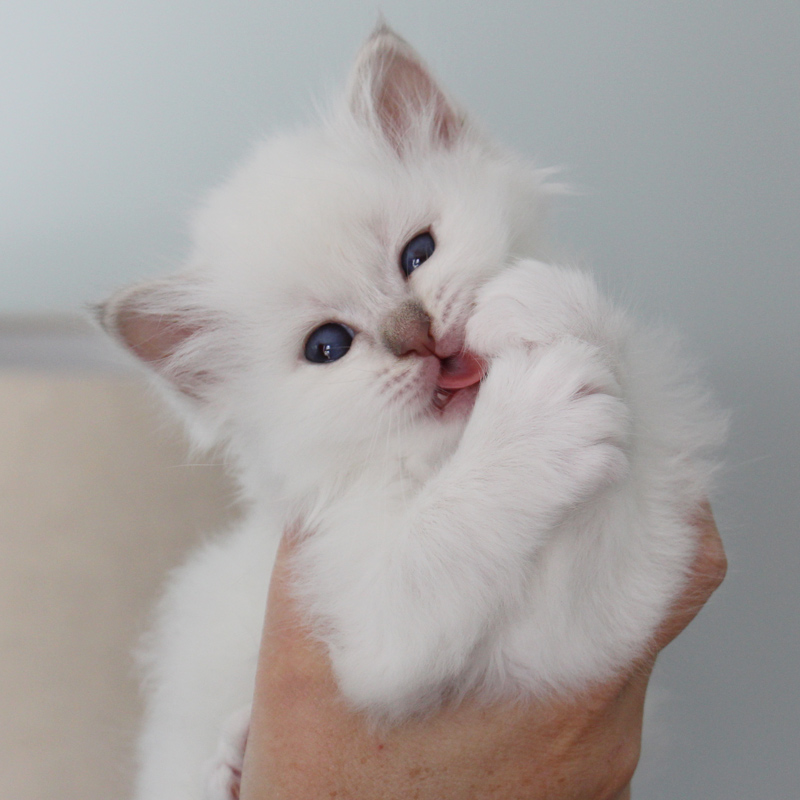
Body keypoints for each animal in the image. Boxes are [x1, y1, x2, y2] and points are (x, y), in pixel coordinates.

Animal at [100, 25, 724, 800]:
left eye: (418, 253)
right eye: (328, 347)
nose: (414, 335)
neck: (442, 453)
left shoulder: (625, 585)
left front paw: (541, 302)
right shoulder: (370, 608)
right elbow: (444, 530)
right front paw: (532, 425)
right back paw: (230, 762)